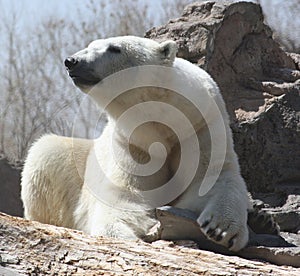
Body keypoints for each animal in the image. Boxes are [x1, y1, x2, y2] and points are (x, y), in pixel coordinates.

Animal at [21, 35, 250, 251]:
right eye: (90, 45)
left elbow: (213, 177)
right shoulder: (133, 144)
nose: (72, 61)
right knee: (46, 152)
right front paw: (125, 233)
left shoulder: (201, 126)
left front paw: (221, 229)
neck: (161, 121)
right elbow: (126, 195)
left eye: (114, 48)